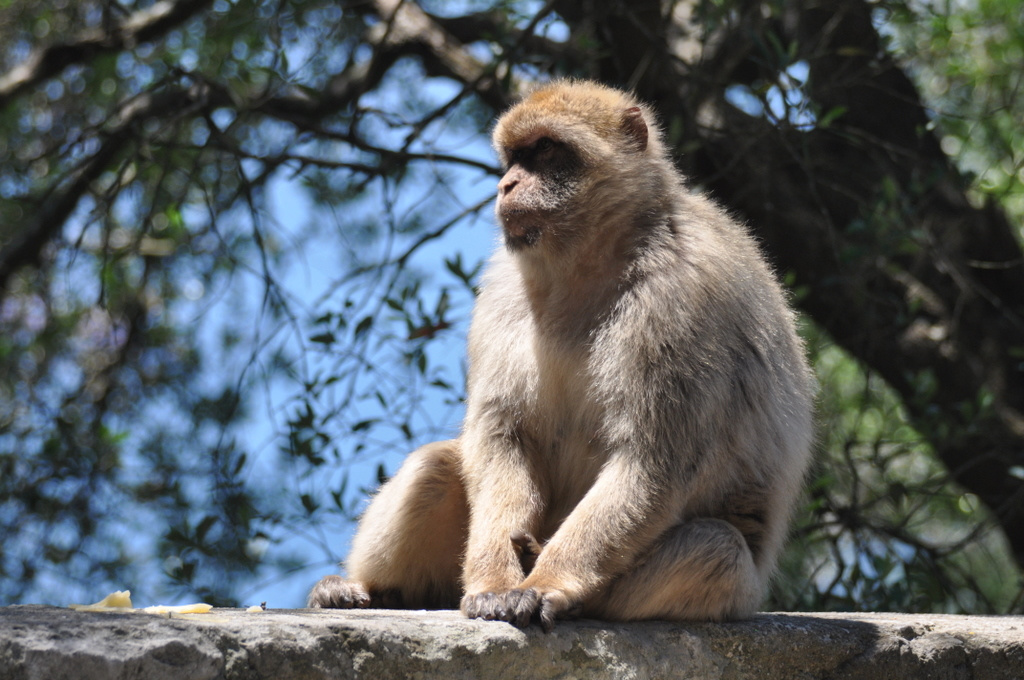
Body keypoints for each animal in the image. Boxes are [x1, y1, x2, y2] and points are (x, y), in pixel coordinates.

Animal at [307, 80, 811, 630]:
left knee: (716, 548)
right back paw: (369, 590)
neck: (590, 263)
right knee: (434, 466)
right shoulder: (503, 290)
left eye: (545, 150)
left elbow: (654, 461)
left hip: (730, 589)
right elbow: (502, 435)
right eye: (513, 158)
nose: (506, 185)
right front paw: (494, 583)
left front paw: (546, 583)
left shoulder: (682, 300)